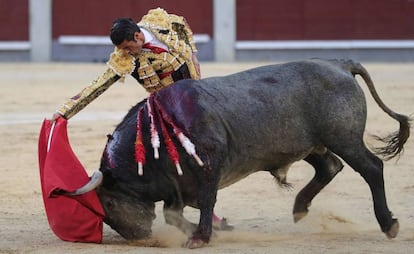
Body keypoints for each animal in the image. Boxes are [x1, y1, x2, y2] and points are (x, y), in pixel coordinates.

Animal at [69, 59, 410, 248]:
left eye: (109, 202)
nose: (137, 235)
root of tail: (340, 64)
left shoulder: (209, 165)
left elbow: (205, 201)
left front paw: (200, 237)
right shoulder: (176, 184)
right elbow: (172, 213)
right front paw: (206, 233)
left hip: (344, 138)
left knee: (371, 168)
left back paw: (388, 224)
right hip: (307, 144)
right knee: (330, 167)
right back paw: (299, 208)